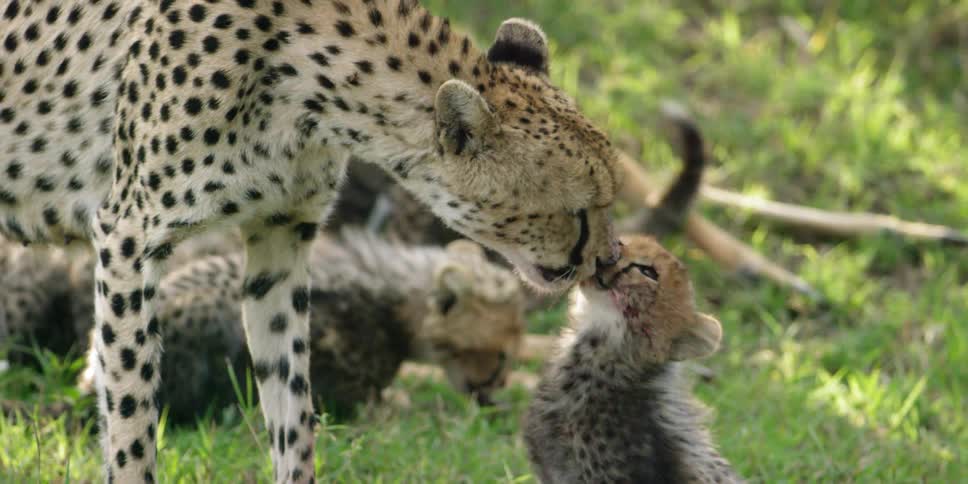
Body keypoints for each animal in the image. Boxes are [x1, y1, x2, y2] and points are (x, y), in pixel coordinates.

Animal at [1, 0, 622, 481]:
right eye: (580, 210)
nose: (609, 259)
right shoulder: (128, 237)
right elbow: (131, 417)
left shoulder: (281, 239)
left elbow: (291, 407)